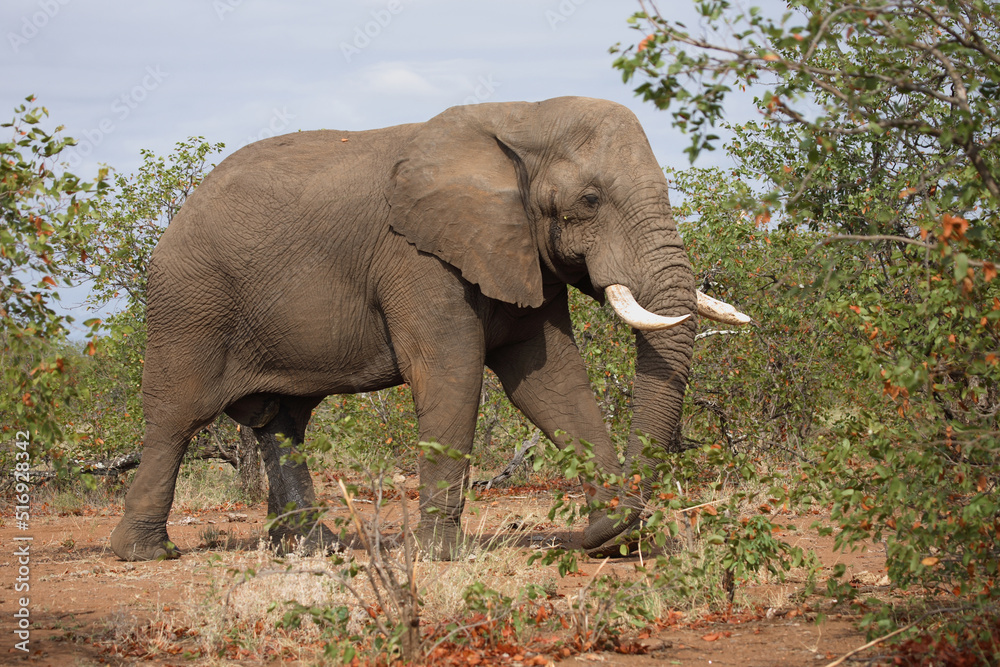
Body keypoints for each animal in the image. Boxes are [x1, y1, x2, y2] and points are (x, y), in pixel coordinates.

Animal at [109, 96, 749, 562]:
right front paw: (439, 556)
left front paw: (618, 539)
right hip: (190, 304)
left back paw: (314, 549)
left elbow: (550, 380)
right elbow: (452, 372)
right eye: (590, 200)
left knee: (283, 422)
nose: (589, 538)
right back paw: (146, 554)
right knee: (176, 419)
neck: (519, 117)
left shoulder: (518, 251)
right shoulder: (417, 256)